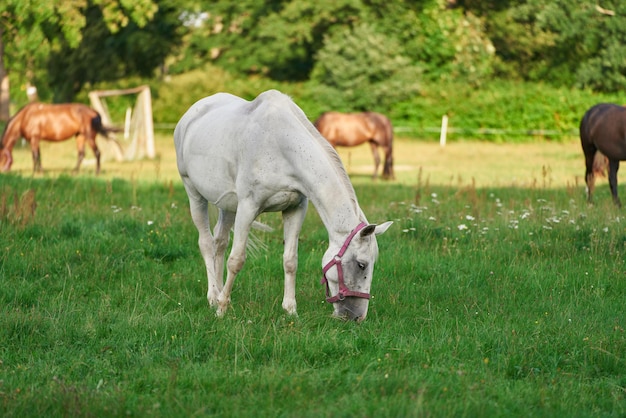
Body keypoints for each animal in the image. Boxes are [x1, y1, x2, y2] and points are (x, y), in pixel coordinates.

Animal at [173, 90, 390, 322]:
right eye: (361, 265)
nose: (357, 317)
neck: (281, 146)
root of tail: (189, 115)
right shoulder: (248, 207)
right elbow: (237, 259)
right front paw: (222, 308)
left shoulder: (295, 209)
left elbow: (290, 260)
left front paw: (290, 309)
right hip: (194, 193)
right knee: (206, 243)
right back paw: (214, 296)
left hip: (228, 205)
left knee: (219, 242)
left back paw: (221, 289)